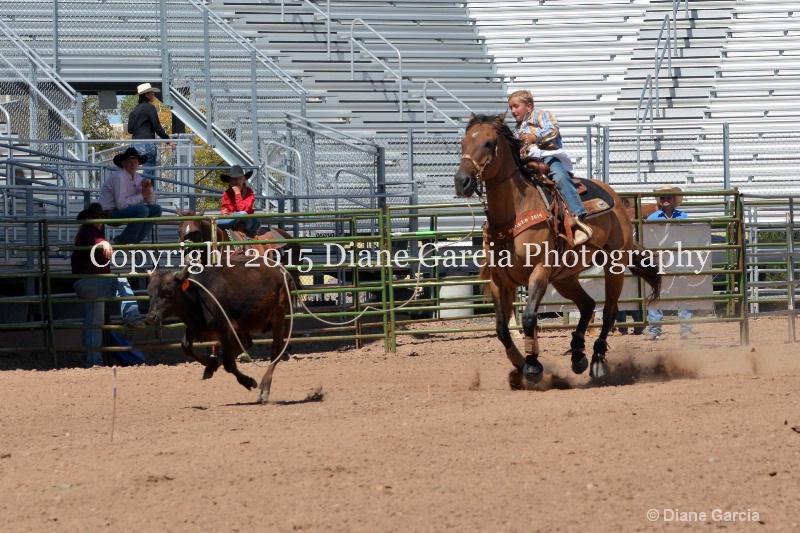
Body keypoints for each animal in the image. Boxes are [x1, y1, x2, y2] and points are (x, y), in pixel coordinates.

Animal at [454, 112, 660, 380]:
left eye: (488, 143)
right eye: (463, 142)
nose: (462, 181)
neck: (516, 209)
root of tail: (616, 199)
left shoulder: (539, 271)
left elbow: (529, 317)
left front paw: (532, 366)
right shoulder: (500, 280)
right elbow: (501, 328)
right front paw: (519, 365)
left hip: (614, 265)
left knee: (609, 312)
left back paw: (597, 361)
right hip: (564, 277)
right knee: (587, 305)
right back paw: (577, 355)